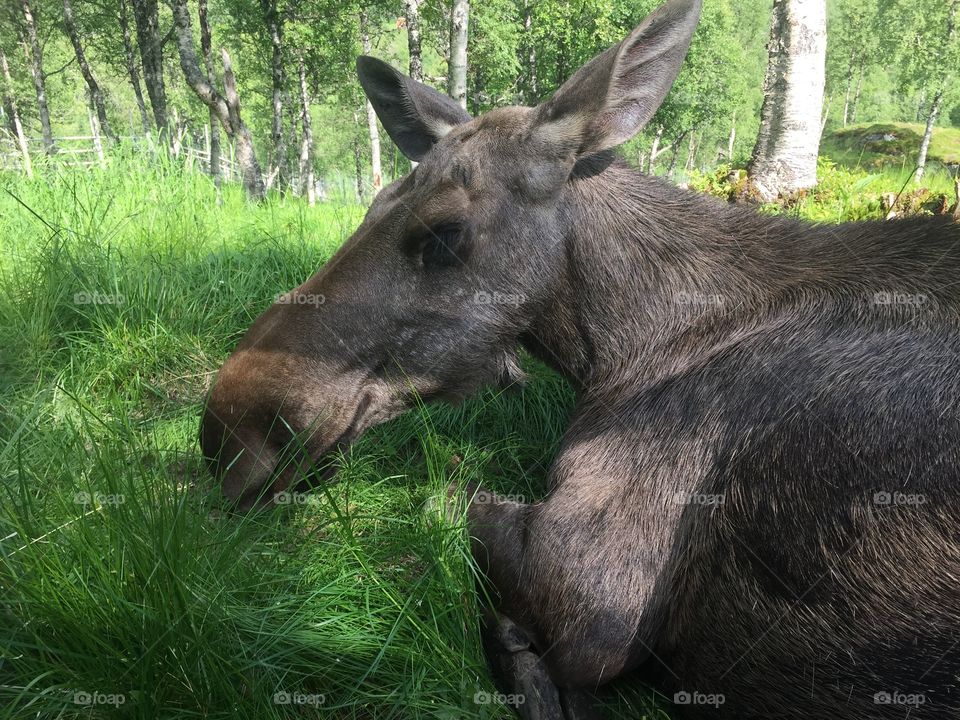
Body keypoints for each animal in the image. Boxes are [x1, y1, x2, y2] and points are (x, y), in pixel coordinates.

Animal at [200, 0, 960, 717]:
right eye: (373, 202)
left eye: (442, 233)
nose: (232, 430)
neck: (615, 347)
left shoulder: (593, 597)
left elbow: (446, 500)